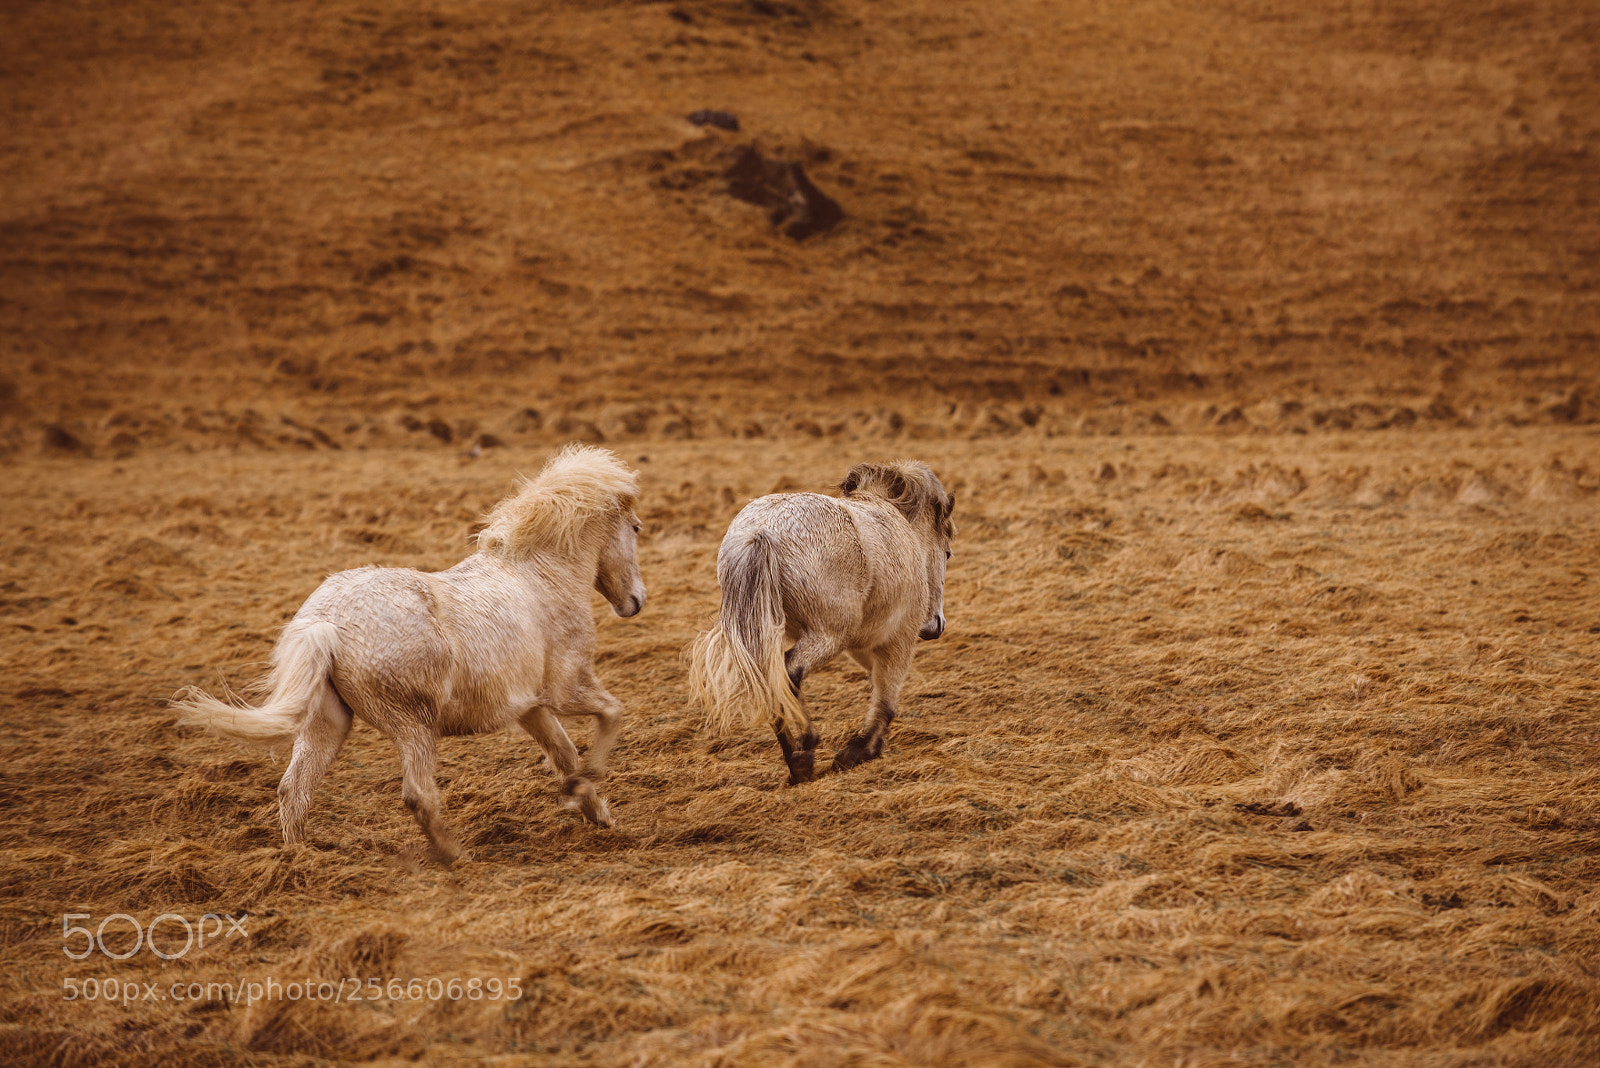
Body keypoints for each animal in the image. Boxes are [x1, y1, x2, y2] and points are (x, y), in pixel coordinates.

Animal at [174, 443, 646, 863]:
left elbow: (564, 752)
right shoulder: (567, 688)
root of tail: (327, 624)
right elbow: (613, 714)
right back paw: (457, 855)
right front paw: (584, 790)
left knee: (295, 789)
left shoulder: (529, 705)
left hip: (328, 722)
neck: (540, 575)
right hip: (414, 726)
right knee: (417, 795)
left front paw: (595, 811)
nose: (636, 601)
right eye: (637, 528)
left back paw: (300, 859)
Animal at [688, 460, 955, 785]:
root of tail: (761, 532)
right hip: (827, 637)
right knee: (789, 673)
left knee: (769, 679)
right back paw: (804, 750)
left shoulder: (864, 641)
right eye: (947, 553)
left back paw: (795, 760)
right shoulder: (897, 638)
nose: (935, 625)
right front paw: (861, 750)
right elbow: (886, 696)